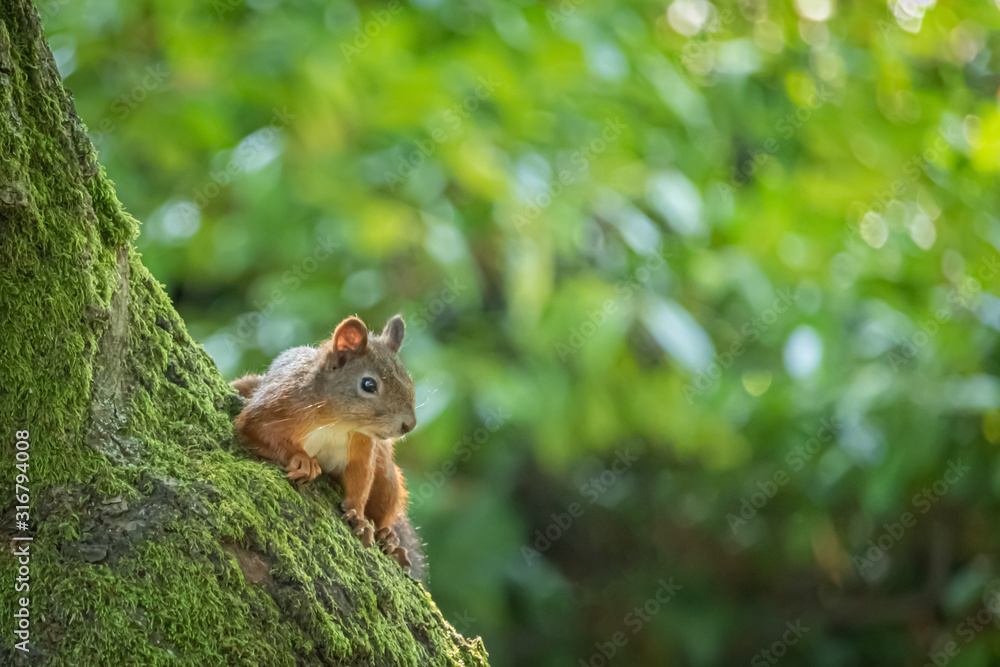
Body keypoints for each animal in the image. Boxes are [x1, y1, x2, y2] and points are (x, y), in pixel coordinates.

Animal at [230, 314, 422, 576]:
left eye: (408, 382)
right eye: (369, 384)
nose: (409, 425)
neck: (336, 420)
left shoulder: (363, 443)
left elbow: (361, 476)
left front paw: (359, 517)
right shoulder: (280, 401)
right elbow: (255, 426)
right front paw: (303, 460)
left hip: (387, 477)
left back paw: (390, 538)